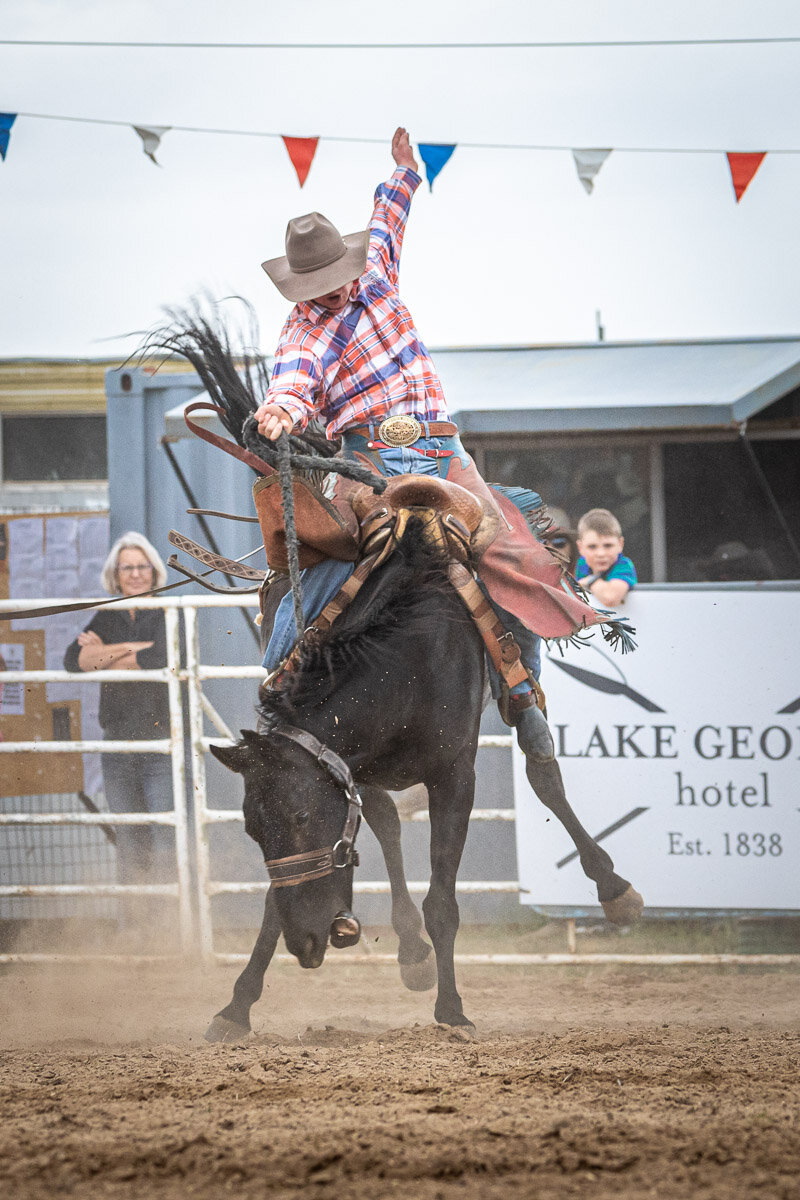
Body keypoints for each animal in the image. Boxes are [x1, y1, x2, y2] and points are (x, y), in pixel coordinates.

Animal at [206, 518, 642, 1041]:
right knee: (388, 822)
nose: (306, 941)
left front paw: (452, 1010)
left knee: (544, 774)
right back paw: (411, 950)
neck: (404, 666)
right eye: (252, 829)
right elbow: (279, 895)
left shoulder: (454, 777)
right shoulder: (351, 768)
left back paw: (614, 888)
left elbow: (442, 902)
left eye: (302, 816)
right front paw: (236, 1006)